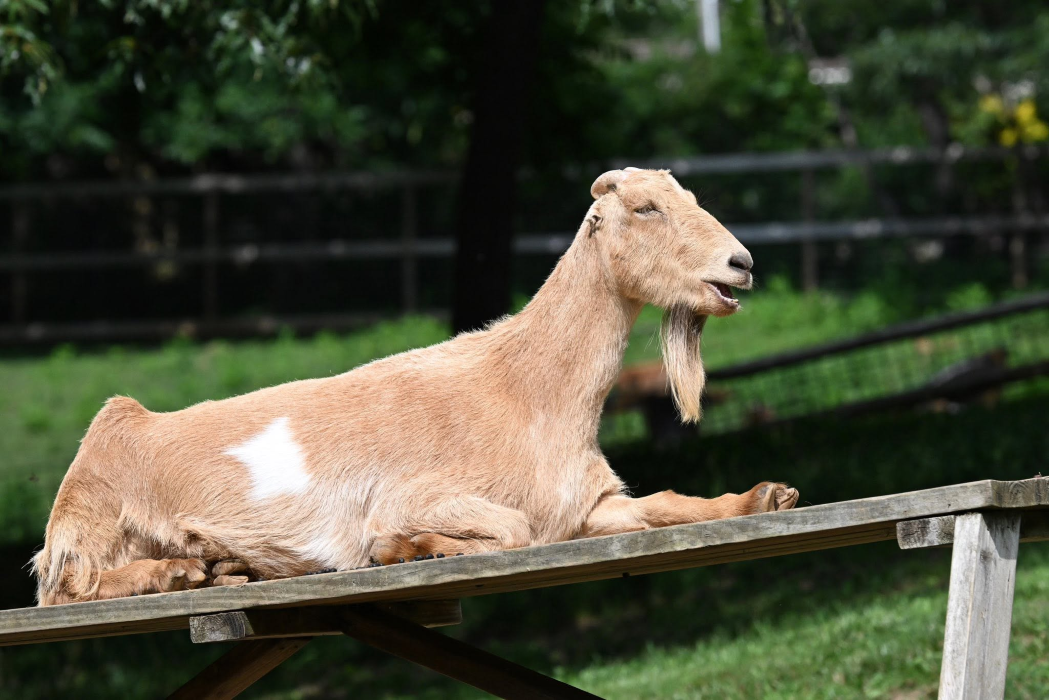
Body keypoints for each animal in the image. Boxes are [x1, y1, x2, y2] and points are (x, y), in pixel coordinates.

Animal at [33, 168, 798, 606]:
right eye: (645, 209)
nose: (740, 262)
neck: (526, 388)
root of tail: (120, 422)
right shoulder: (411, 494)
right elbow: (509, 530)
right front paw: (405, 550)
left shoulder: (588, 506)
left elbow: (662, 504)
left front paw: (765, 496)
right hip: (90, 527)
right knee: (67, 588)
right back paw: (179, 574)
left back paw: (220, 567)